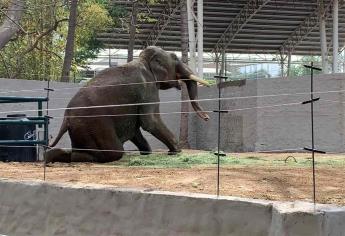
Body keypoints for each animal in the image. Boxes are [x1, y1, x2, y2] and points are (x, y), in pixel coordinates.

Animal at [45, 45, 210, 162]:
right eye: (175, 57)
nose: (207, 117)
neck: (144, 60)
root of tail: (66, 116)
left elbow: (135, 128)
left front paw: (147, 152)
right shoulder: (148, 89)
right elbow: (150, 121)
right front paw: (176, 151)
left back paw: (52, 156)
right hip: (94, 124)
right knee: (114, 151)